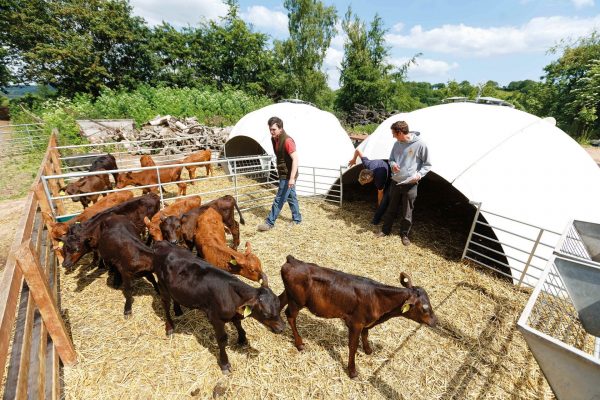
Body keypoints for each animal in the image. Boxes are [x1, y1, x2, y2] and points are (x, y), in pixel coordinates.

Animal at [276, 256, 436, 378]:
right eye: (425, 308)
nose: (435, 321)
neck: (378, 298)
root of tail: (292, 260)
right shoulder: (355, 323)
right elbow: (353, 346)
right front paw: (352, 371)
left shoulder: (366, 323)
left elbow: (365, 335)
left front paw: (368, 350)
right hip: (297, 301)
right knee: (290, 316)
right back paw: (299, 343)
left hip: (289, 294)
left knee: (279, 301)